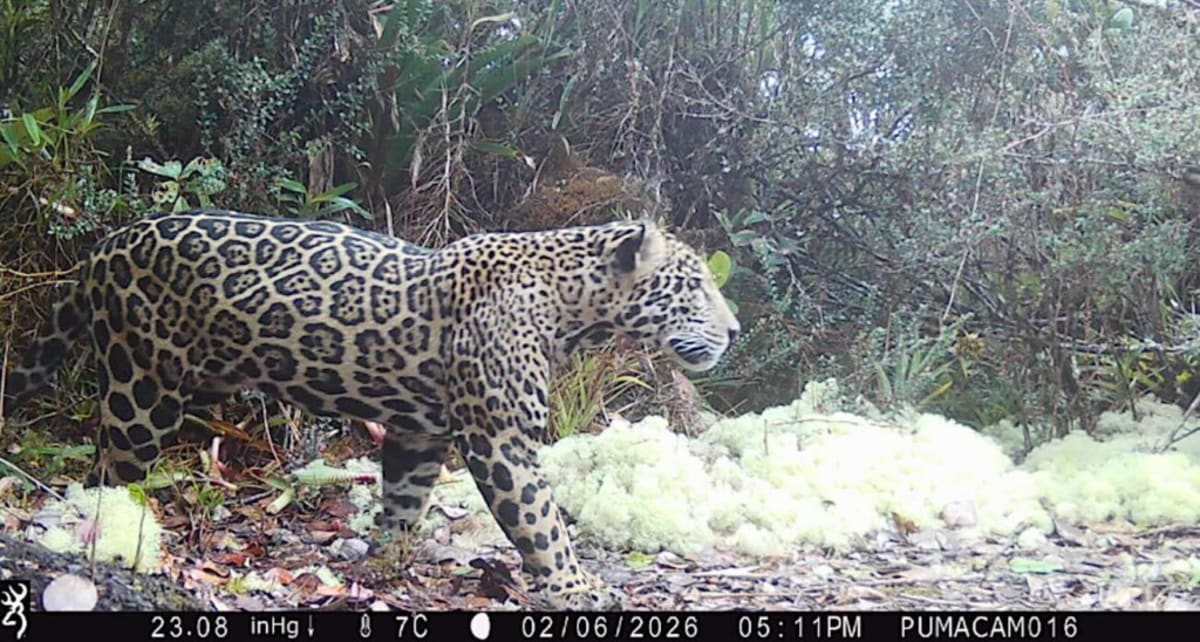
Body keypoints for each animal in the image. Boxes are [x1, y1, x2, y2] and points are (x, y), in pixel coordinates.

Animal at [3, 208, 740, 609]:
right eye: (695, 286)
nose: (734, 331)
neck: (572, 308)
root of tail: (104, 245)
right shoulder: (500, 438)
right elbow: (541, 522)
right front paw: (576, 585)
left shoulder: (420, 431)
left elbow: (405, 501)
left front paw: (386, 563)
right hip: (143, 386)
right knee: (112, 469)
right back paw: (117, 534)